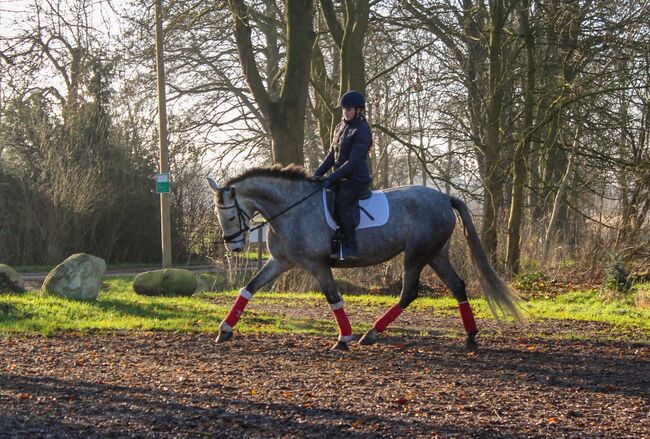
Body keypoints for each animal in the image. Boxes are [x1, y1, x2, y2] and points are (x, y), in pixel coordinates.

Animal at [210, 165, 520, 350]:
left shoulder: (316, 264)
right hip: (436, 254)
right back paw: (470, 337)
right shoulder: (280, 262)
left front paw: (343, 338)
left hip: (416, 255)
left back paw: (370, 333)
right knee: (457, 287)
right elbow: (249, 288)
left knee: (409, 293)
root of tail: (445, 198)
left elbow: (333, 298)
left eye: (230, 215)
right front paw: (225, 329)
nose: (234, 248)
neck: (291, 208)